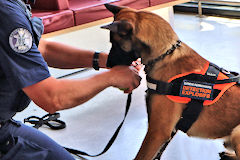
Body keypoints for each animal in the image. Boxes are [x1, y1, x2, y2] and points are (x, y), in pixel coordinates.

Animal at [101, 3, 240, 160]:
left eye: (114, 43)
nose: (108, 64)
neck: (165, 54)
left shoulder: (157, 133)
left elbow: (141, 156)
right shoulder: (167, 131)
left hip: (237, 132)